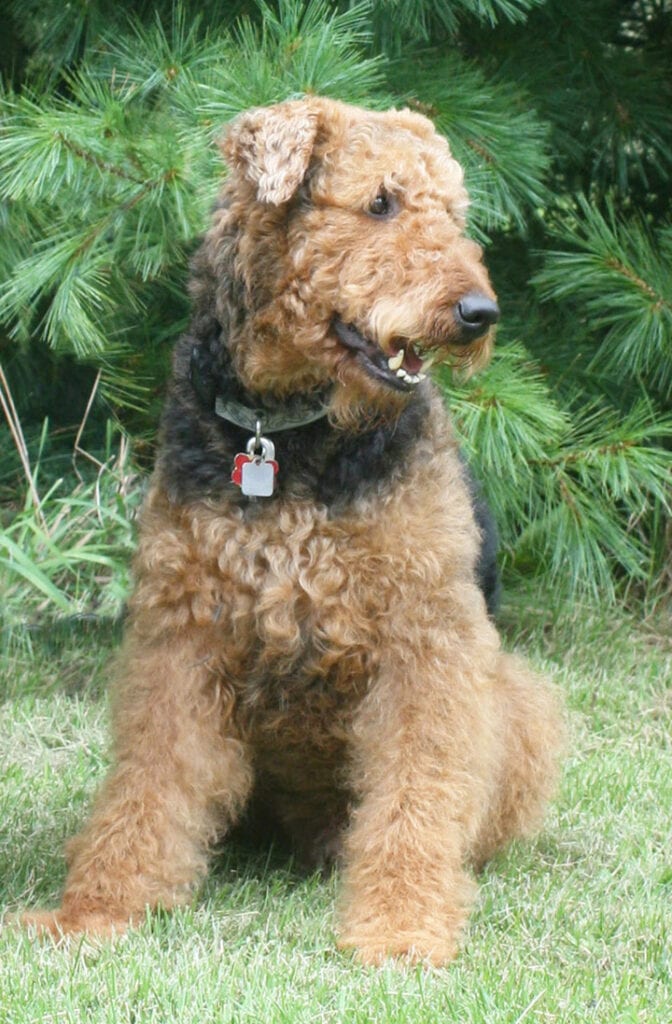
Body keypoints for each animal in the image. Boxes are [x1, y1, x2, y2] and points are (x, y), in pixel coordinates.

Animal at [21, 97, 565, 966]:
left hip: (513, 697)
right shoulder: (182, 636)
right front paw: (98, 912)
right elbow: (149, 784)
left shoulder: (426, 640)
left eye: (453, 213)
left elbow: (419, 787)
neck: (288, 435)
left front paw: (402, 928)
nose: (479, 314)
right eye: (380, 202)